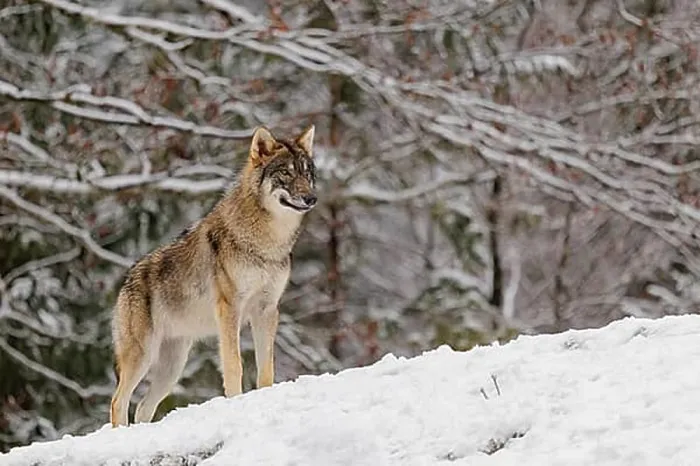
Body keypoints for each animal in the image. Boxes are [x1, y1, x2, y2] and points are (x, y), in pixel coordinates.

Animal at [109, 125, 317, 427]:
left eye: (307, 173)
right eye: (286, 173)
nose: (311, 198)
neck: (267, 243)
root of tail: (126, 280)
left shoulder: (267, 310)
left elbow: (266, 367)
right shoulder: (229, 309)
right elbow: (234, 365)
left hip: (172, 367)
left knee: (143, 408)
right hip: (142, 356)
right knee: (118, 401)